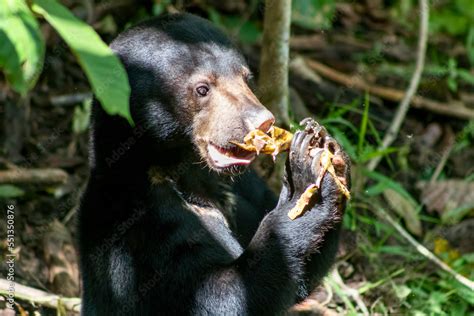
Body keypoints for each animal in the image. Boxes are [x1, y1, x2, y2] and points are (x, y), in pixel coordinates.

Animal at [78, 12, 350, 316]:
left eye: (247, 78)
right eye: (202, 89)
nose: (262, 121)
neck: (186, 172)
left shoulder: (243, 185)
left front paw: (330, 155)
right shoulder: (140, 227)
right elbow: (217, 295)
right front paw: (302, 188)